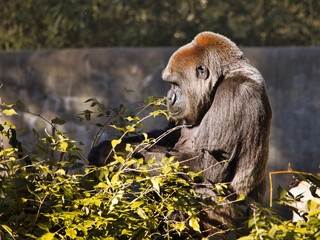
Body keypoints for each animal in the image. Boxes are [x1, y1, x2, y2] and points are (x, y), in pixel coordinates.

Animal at [88, 31, 272, 231]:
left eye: (175, 84)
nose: (169, 98)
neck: (222, 77)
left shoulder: (236, 92)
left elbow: (207, 170)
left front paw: (118, 154)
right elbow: (167, 135)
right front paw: (107, 149)